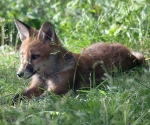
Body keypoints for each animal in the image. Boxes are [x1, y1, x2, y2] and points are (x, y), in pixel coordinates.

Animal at [12, 18, 146, 104]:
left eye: (35, 56)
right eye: (22, 55)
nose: (19, 74)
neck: (47, 76)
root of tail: (129, 53)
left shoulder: (59, 89)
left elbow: (37, 100)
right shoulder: (37, 86)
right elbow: (15, 97)